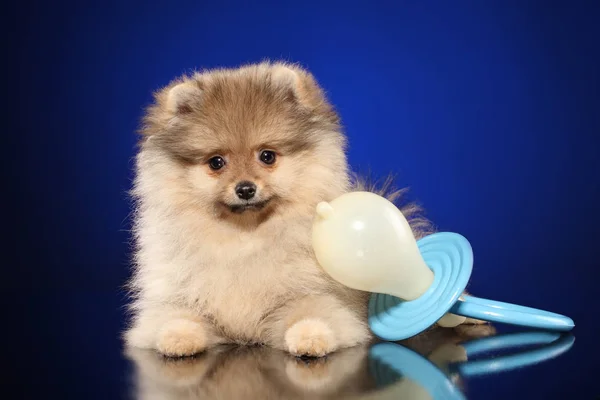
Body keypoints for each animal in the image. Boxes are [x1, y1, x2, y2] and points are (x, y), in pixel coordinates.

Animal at [123, 61, 440, 358]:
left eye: (267, 156)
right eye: (216, 162)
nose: (245, 188)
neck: (245, 239)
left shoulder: (312, 293)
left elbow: (313, 311)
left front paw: (311, 336)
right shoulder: (177, 295)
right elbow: (174, 316)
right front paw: (177, 337)